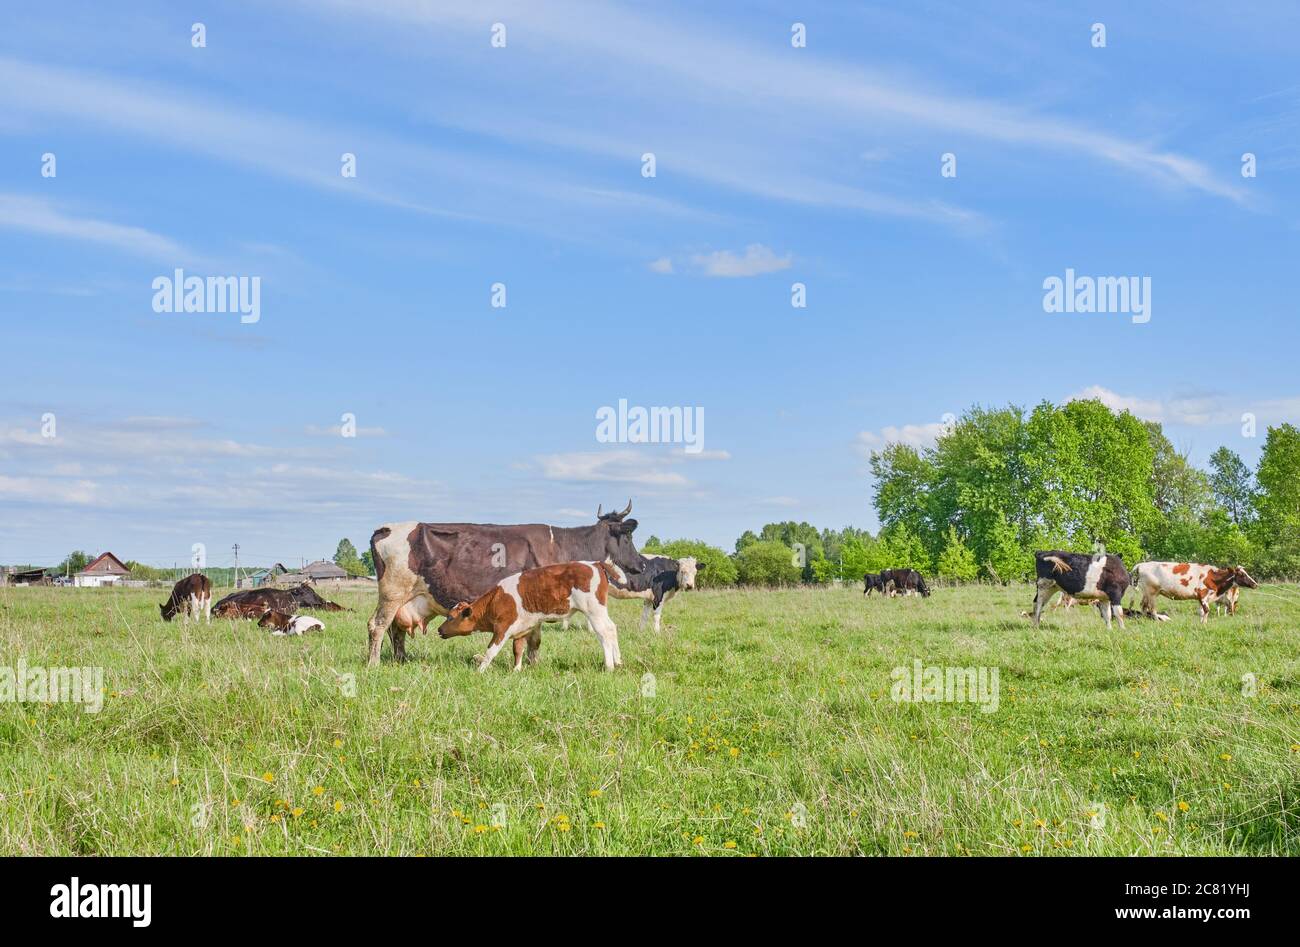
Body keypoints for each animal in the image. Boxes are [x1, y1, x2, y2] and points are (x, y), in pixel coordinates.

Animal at [436, 561, 621, 672]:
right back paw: (618, 662)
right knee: (612, 628)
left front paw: (480, 670)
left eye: (451, 617)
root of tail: (594, 563)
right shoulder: (522, 628)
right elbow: (518, 649)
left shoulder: (502, 628)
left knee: (604, 633)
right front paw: (516, 670)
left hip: (593, 611)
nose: (438, 629)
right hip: (600, 611)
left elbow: (491, 650)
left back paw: (609, 666)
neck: (496, 599)